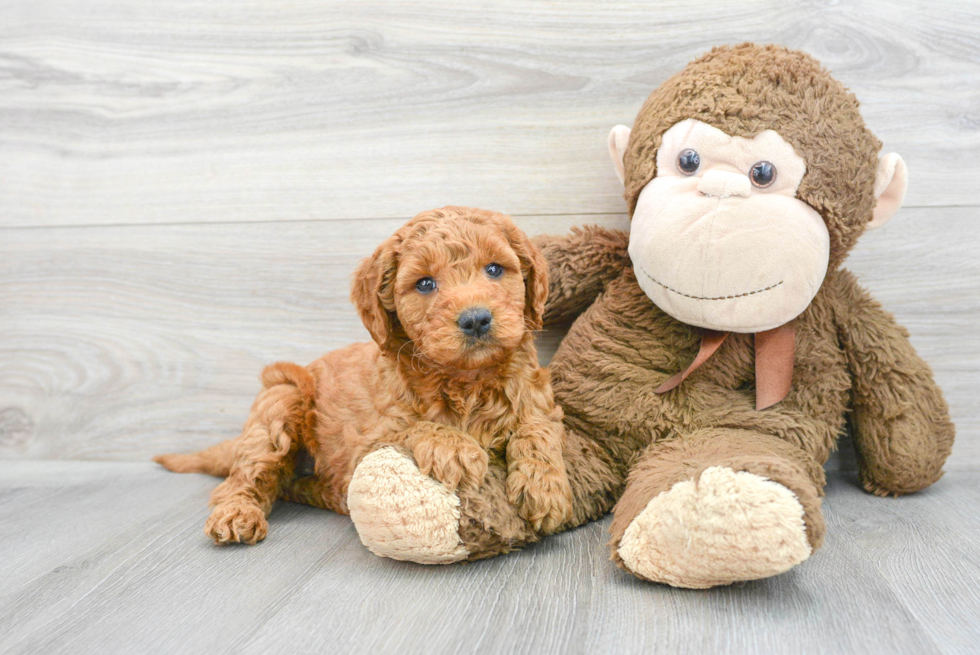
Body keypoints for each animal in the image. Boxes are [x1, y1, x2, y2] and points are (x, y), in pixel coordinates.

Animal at [155, 208, 576, 544]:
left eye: (494, 269)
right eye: (425, 283)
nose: (476, 319)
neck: (467, 380)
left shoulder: (539, 398)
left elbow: (536, 428)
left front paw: (545, 488)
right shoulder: (369, 439)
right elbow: (413, 427)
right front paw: (456, 447)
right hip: (280, 399)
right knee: (245, 478)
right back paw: (237, 514)